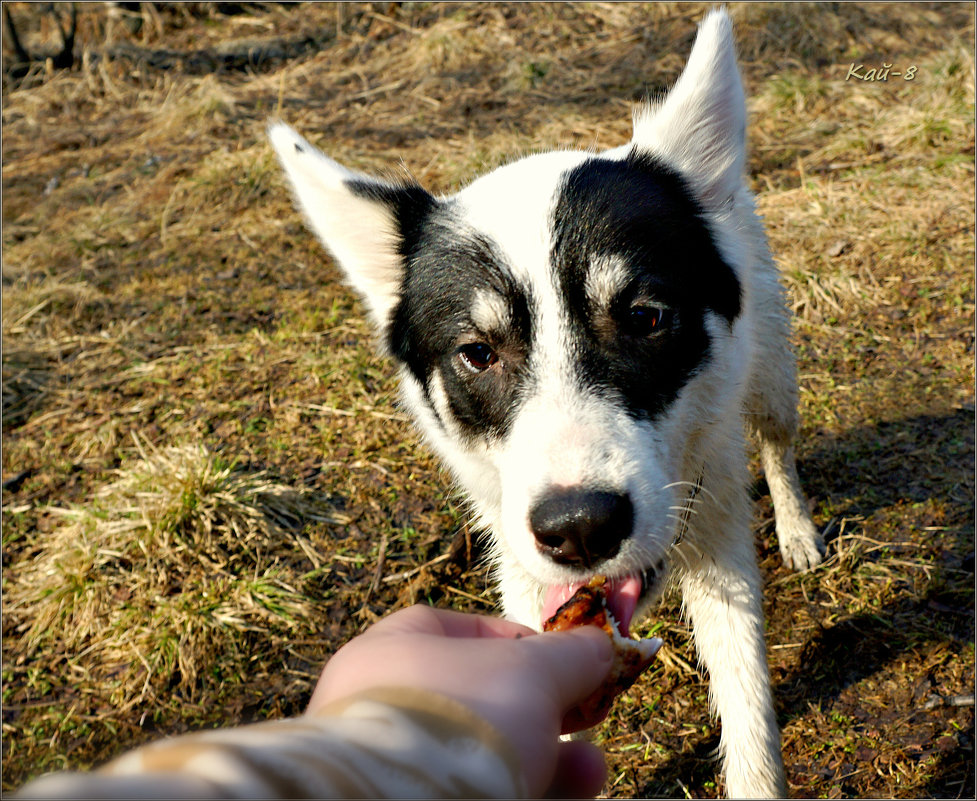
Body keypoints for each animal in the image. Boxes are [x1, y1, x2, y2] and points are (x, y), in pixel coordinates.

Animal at [268, 9, 824, 796]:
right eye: (477, 353)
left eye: (644, 317)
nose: (580, 530)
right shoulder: (528, 579)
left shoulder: (717, 538)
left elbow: (750, 727)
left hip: (771, 374)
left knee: (777, 446)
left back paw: (797, 527)